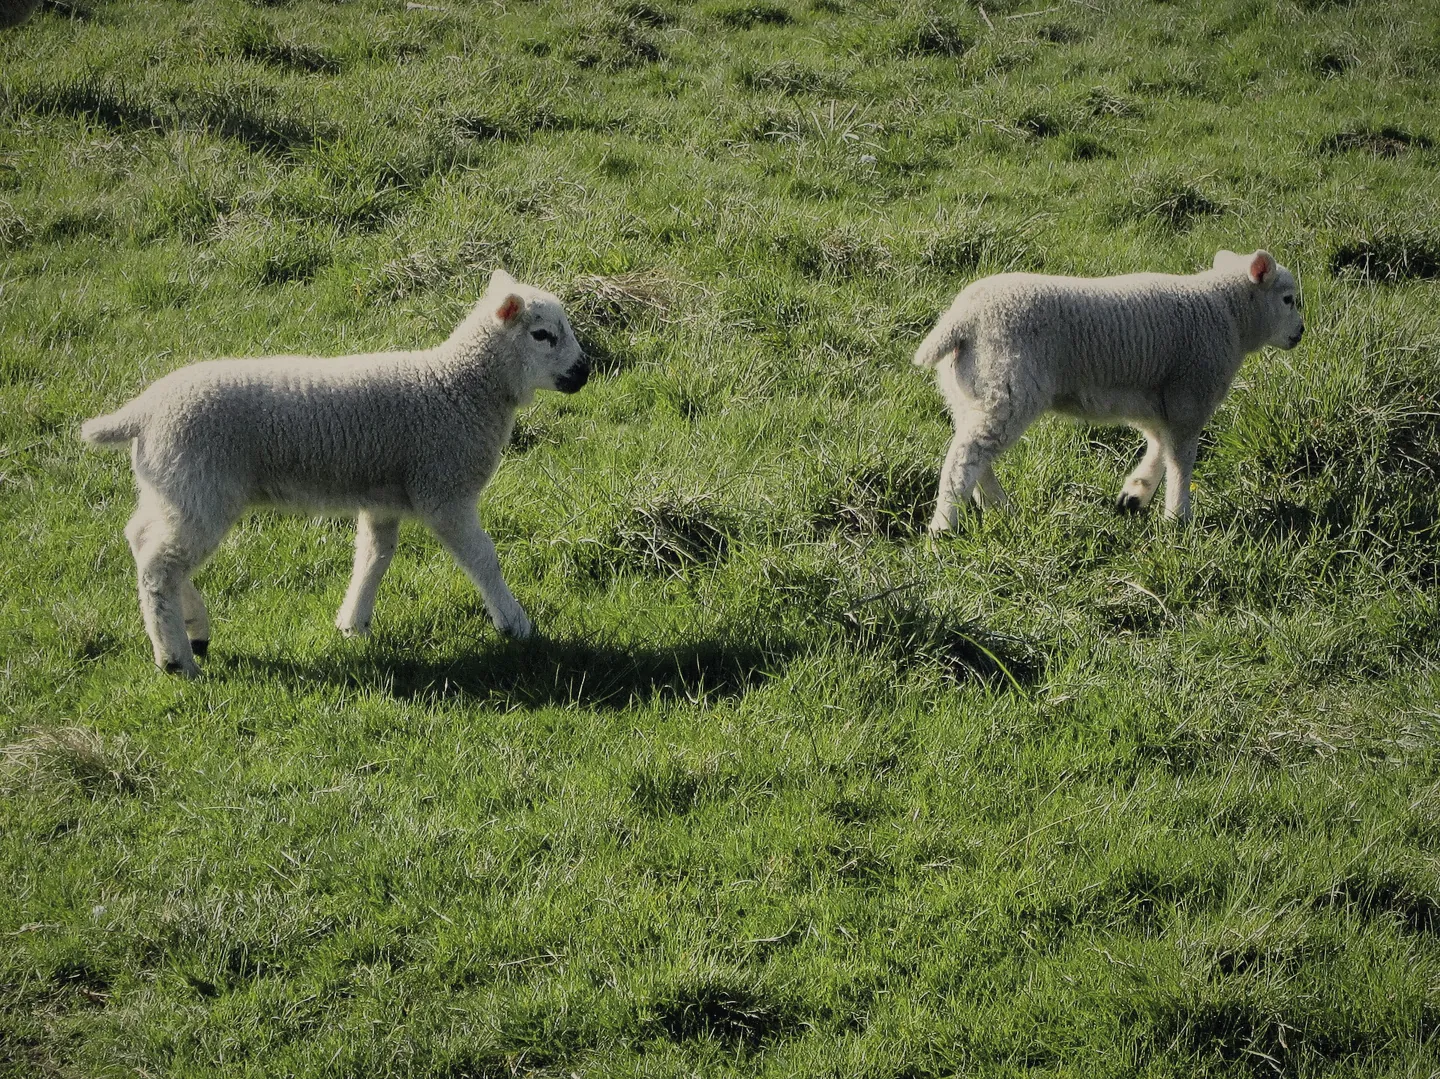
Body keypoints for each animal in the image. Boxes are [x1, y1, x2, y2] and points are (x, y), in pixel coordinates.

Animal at [80, 268, 590, 678]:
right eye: (543, 334)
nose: (584, 372)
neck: (457, 387)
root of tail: (144, 412)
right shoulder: (444, 488)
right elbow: (483, 558)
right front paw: (515, 624)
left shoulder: (383, 496)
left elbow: (374, 555)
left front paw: (353, 623)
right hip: (199, 483)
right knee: (158, 568)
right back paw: (176, 660)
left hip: (172, 486)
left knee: (142, 539)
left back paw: (194, 629)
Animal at [914, 249, 1305, 532]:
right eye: (1288, 299)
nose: (1300, 333)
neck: (1229, 314)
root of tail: (960, 319)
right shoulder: (1190, 392)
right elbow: (1181, 458)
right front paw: (1178, 518)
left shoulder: (1155, 397)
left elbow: (1160, 444)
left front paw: (1135, 495)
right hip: (1007, 387)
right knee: (966, 456)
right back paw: (944, 527)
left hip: (969, 392)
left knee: (976, 453)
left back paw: (1001, 508)